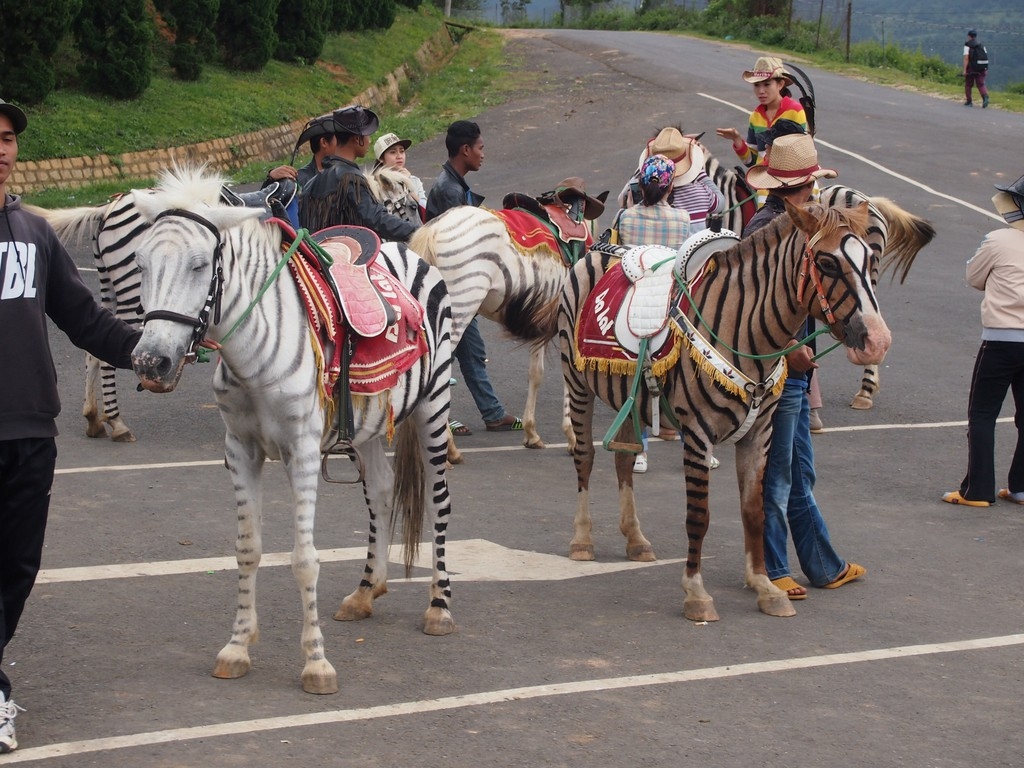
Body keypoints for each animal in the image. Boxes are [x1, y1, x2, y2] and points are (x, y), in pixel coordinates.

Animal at [126, 165, 452, 696]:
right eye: (142, 265)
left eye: (199, 266)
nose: (150, 363)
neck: (251, 349)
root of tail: (402, 248)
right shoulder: (240, 450)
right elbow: (248, 549)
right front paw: (237, 647)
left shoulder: (301, 451)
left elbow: (304, 559)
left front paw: (316, 663)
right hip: (365, 427)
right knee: (382, 490)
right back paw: (366, 590)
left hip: (433, 404)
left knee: (440, 501)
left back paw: (439, 606)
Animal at [512, 196, 888, 618]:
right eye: (826, 263)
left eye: (872, 259)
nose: (877, 340)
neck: (744, 326)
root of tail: (599, 249)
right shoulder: (696, 433)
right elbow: (698, 517)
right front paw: (696, 593)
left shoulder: (760, 432)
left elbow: (754, 510)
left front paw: (764, 586)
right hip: (577, 383)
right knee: (585, 457)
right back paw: (582, 539)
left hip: (627, 394)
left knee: (623, 459)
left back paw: (636, 539)